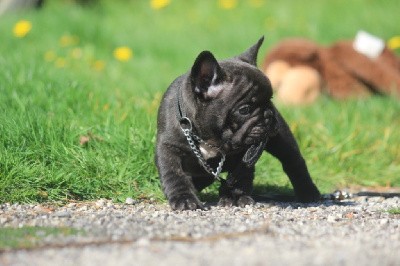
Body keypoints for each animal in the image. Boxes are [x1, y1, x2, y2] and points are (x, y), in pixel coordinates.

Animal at [155, 37, 320, 210]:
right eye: (244, 110)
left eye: (270, 100)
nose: (268, 114)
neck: (210, 139)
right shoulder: (169, 147)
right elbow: (174, 174)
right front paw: (184, 198)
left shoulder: (246, 154)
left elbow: (240, 175)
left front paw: (236, 196)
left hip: (282, 140)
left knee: (293, 161)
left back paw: (309, 192)